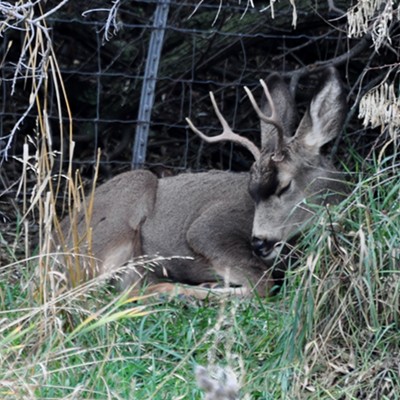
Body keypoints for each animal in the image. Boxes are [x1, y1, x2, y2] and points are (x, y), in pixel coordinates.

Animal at [58, 68, 346, 300]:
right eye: (251, 193)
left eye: (284, 186)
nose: (259, 243)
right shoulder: (208, 228)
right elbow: (262, 284)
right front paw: (201, 288)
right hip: (118, 216)